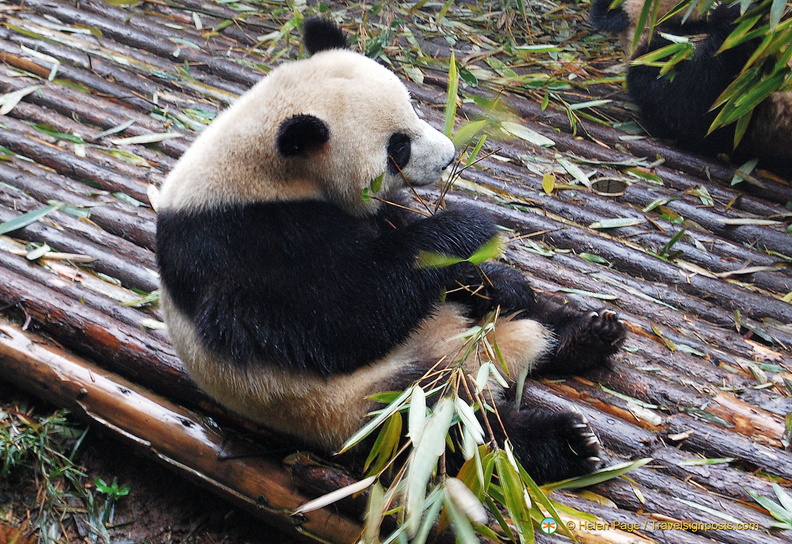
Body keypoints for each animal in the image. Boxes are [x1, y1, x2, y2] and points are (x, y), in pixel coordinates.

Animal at [153, 18, 624, 484]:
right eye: (398, 146)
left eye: (414, 106)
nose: (449, 157)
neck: (265, 170)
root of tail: (479, 361)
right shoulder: (237, 242)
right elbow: (337, 315)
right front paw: (468, 224)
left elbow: (420, 254)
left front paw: (499, 279)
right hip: (366, 405)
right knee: (456, 429)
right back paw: (567, 442)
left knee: (530, 316)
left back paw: (589, 333)